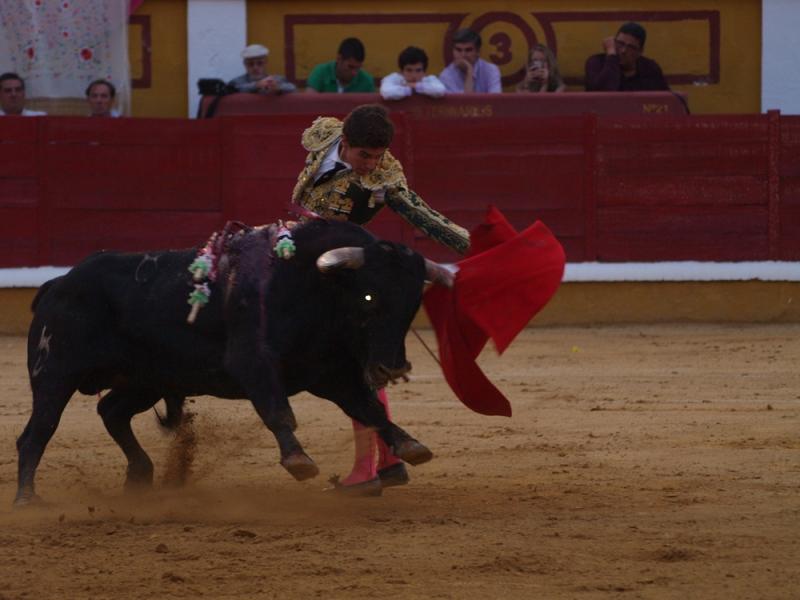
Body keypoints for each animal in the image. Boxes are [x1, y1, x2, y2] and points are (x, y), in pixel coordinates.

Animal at [15, 218, 454, 504]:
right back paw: (28, 500)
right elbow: (278, 410)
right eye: (369, 297)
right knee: (38, 432)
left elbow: (369, 410)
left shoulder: (332, 375)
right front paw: (298, 460)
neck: (315, 286)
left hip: (147, 379)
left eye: (412, 304)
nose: (391, 368)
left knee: (111, 411)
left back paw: (140, 475)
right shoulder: (253, 363)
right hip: (54, 374)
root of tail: (59, 284)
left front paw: (411, 445)